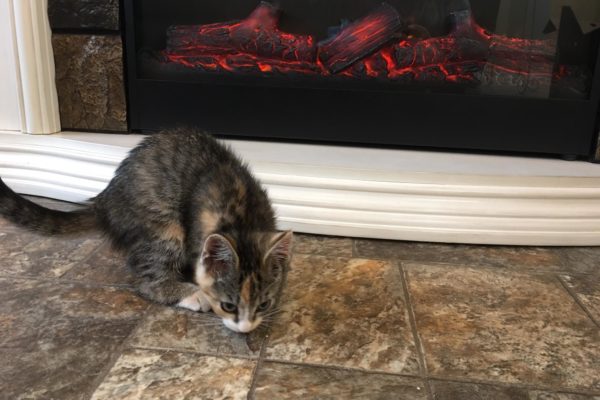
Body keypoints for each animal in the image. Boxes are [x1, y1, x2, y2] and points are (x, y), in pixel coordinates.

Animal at [0, 130, 290, 332]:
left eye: (264, 304)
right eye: (228, 305)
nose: (246, 328)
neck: (244, 215)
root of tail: (106, 199)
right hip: (163, 222)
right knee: (146, 278)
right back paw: (187, 292)